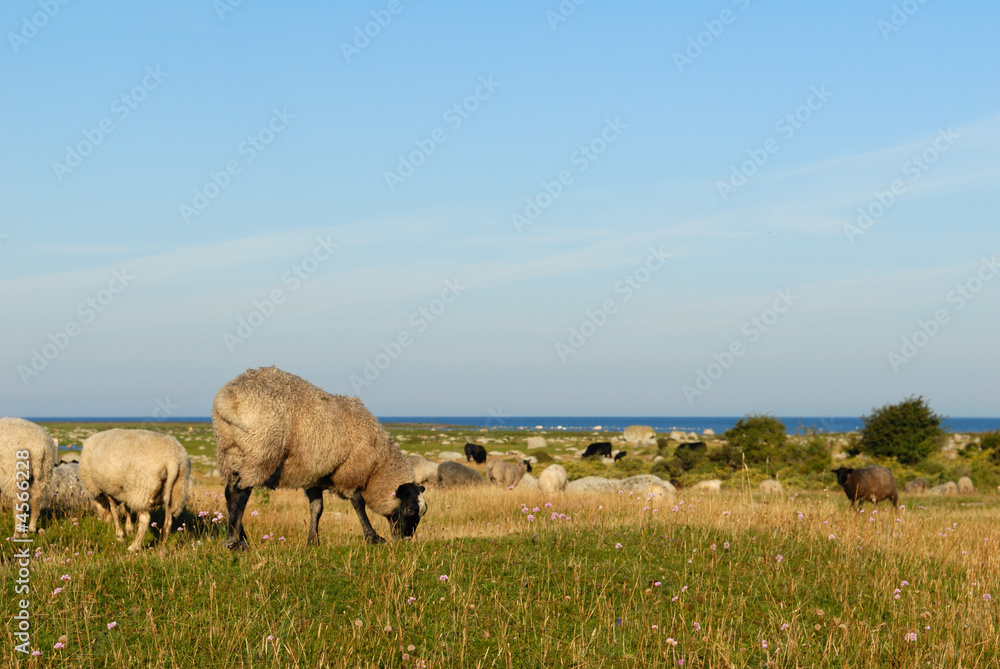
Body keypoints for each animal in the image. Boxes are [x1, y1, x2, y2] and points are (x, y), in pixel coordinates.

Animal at [212, 366, 427, 548]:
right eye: (408, 510)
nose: (405, 539)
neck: (377, 467)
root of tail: (227, 398)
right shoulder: (349, 471)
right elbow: (358, 503)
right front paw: (373, 537)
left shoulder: (314, 476)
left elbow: (317, 508)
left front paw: (313, 542)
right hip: (260, 449)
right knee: (241, 492)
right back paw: (234, 542)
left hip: (230, 453)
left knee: (230, 493)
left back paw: (240, 539)